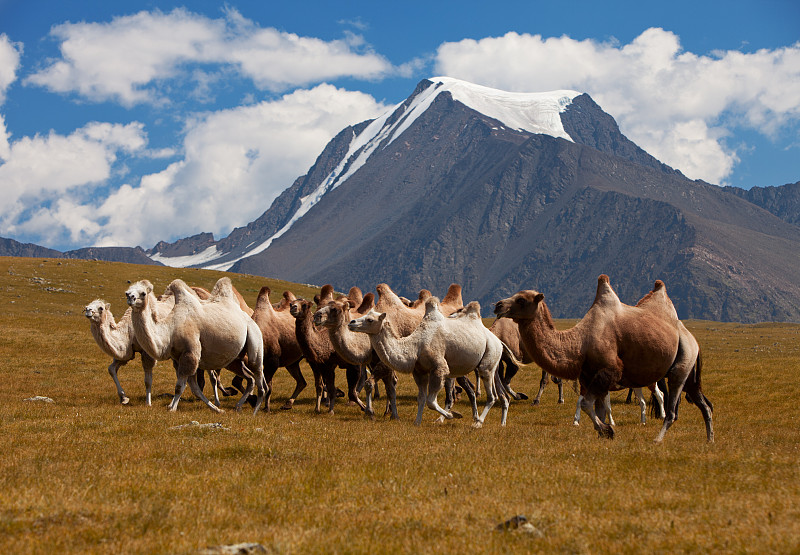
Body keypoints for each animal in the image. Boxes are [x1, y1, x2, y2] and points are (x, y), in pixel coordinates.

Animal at [346, 298, 510, 428]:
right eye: (365, 315)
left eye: (370, 320)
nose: (351, 322)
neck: (415, 346)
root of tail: (498, 341)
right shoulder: (419, 372)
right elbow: (422, 398)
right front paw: (417, 422)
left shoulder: (439, 368)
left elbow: (431, 401)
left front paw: (453, 415)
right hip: (490, 364)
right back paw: (486, 420)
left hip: (488, 359)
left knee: (491, 395)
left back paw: (478, 423)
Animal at [494, 274, 712, 444]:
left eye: (521, 300)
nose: (498, 305)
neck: (579, 342)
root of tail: (692, 338)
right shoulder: (588, 377)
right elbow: (596, 408)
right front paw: (603, 432)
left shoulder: (609, 371)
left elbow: (586, 404)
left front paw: (607, 429)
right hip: (687, 371)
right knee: (704, 404)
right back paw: (710, 440)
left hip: (681, 365)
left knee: (673, 407)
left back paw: (658, 439)